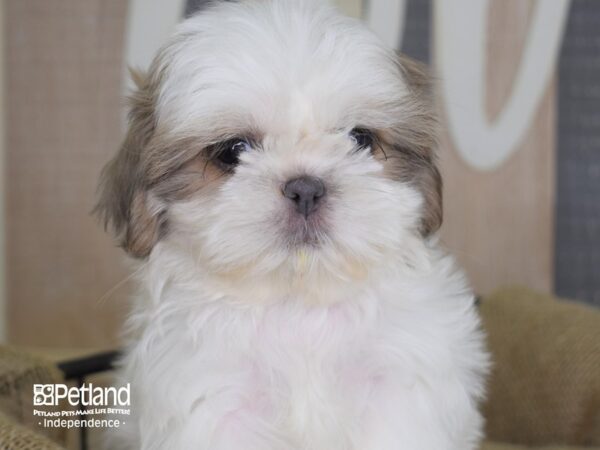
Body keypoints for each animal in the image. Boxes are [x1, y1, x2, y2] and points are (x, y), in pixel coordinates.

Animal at [95, 0, 488, 450]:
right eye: (231, 151)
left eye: (360, 139)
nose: (306, 188)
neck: (298, 303)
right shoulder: (211, 397)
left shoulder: (401, 379)